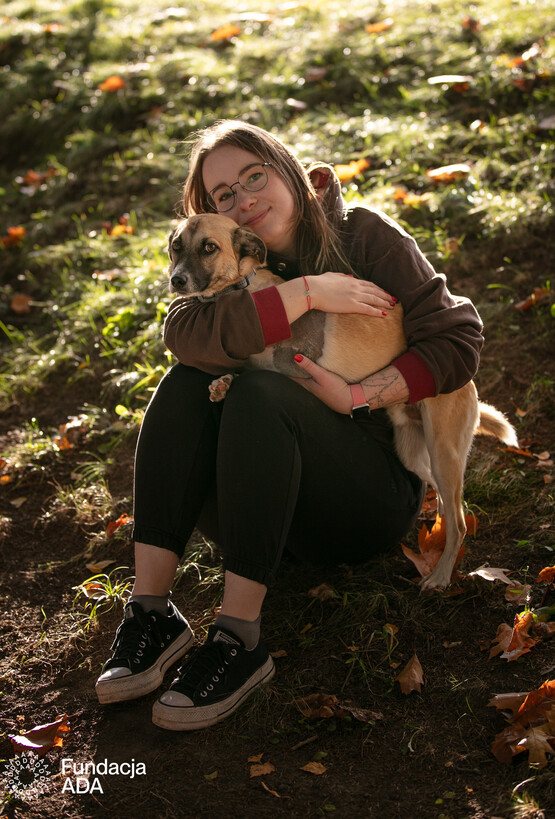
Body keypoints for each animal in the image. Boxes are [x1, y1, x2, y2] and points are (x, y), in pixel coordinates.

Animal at [167, 213, 518, 590]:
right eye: (176, 247)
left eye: (209, 247)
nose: (176, 280)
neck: (242, 290)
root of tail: (468, 384)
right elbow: (244, 368)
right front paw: (223, 382)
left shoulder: (300, 369)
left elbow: (263, 374)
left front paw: (233, 381)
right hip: (411, 449)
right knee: (444, 499)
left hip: (444, 451)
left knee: (460, 521)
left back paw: (439, 576)